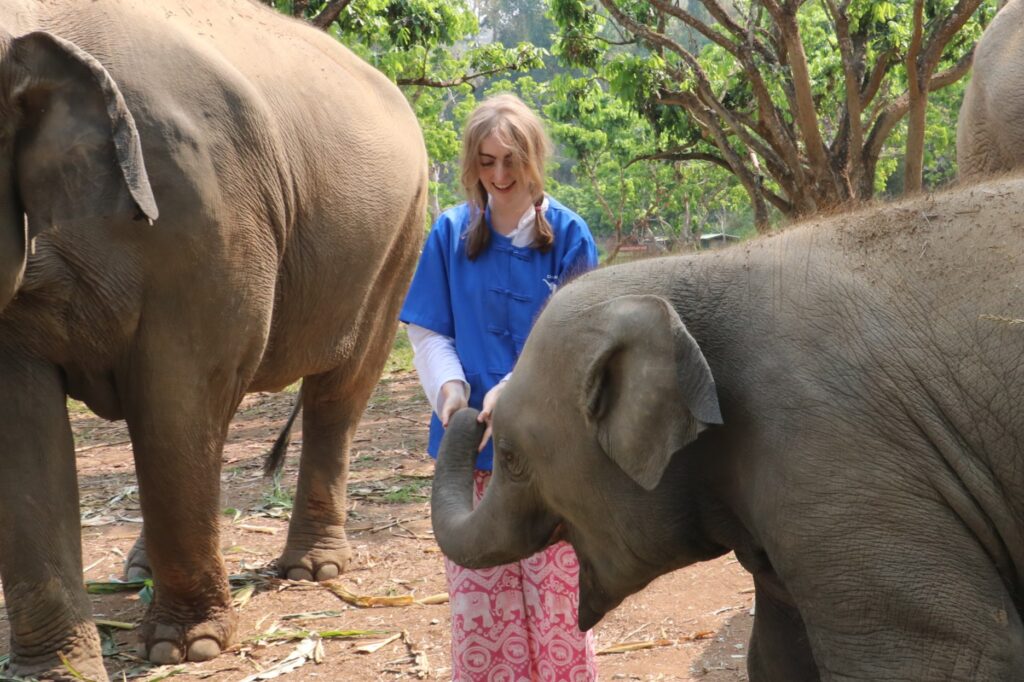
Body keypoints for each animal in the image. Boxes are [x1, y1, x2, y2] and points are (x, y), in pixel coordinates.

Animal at [0, 1, 426, 679]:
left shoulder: (202, 209)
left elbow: (181, 393)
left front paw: (186, 648)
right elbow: (23, 430)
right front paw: (56, 672)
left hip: (399, 239)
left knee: (340, 391)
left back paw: (313, 570)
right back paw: (139, 569)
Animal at [432, 175, 1024, 680]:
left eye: (511, 457)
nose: (468, 406)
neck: (692, 272)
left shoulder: (839, 458)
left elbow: (942, 656)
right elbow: (777, 655)